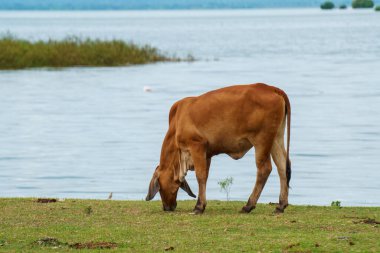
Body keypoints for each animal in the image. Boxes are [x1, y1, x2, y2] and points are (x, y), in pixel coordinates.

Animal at [145, 84, 290, 214]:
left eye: (159, 188)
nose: (167, 207)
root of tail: (271, 88)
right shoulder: (207, 154)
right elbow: (205, 176)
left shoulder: (197, 146)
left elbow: (200, 176)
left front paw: (199, 207)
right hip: (276, 138)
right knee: (282, 166)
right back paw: (280, 205)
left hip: (261, 141)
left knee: (264, 169)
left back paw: (248, 206)